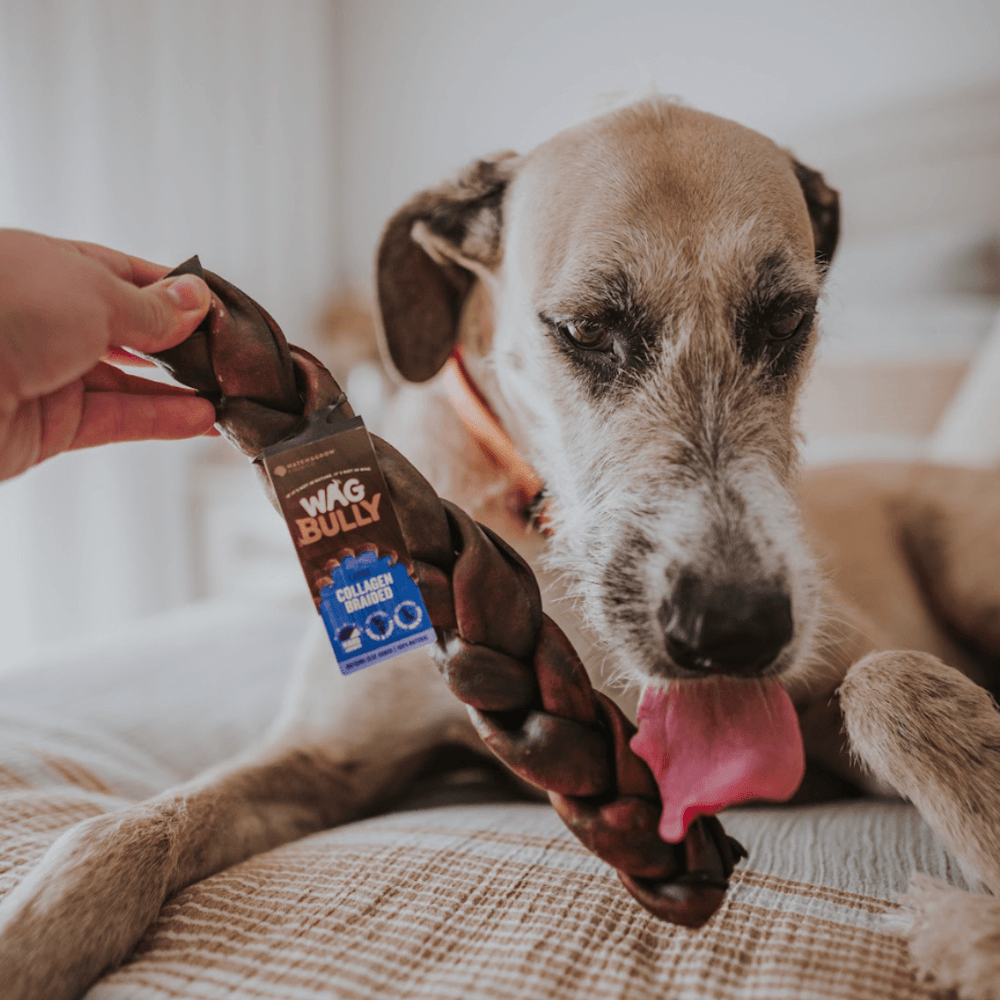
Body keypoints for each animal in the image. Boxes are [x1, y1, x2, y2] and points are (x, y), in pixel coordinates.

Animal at [1, 99, 1000, 1000]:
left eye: (788, 319)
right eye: (589, 329)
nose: (736, 629)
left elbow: (891, 683)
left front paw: (972, 911)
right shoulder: (325, 757)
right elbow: (134, 824)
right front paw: (38, 933)